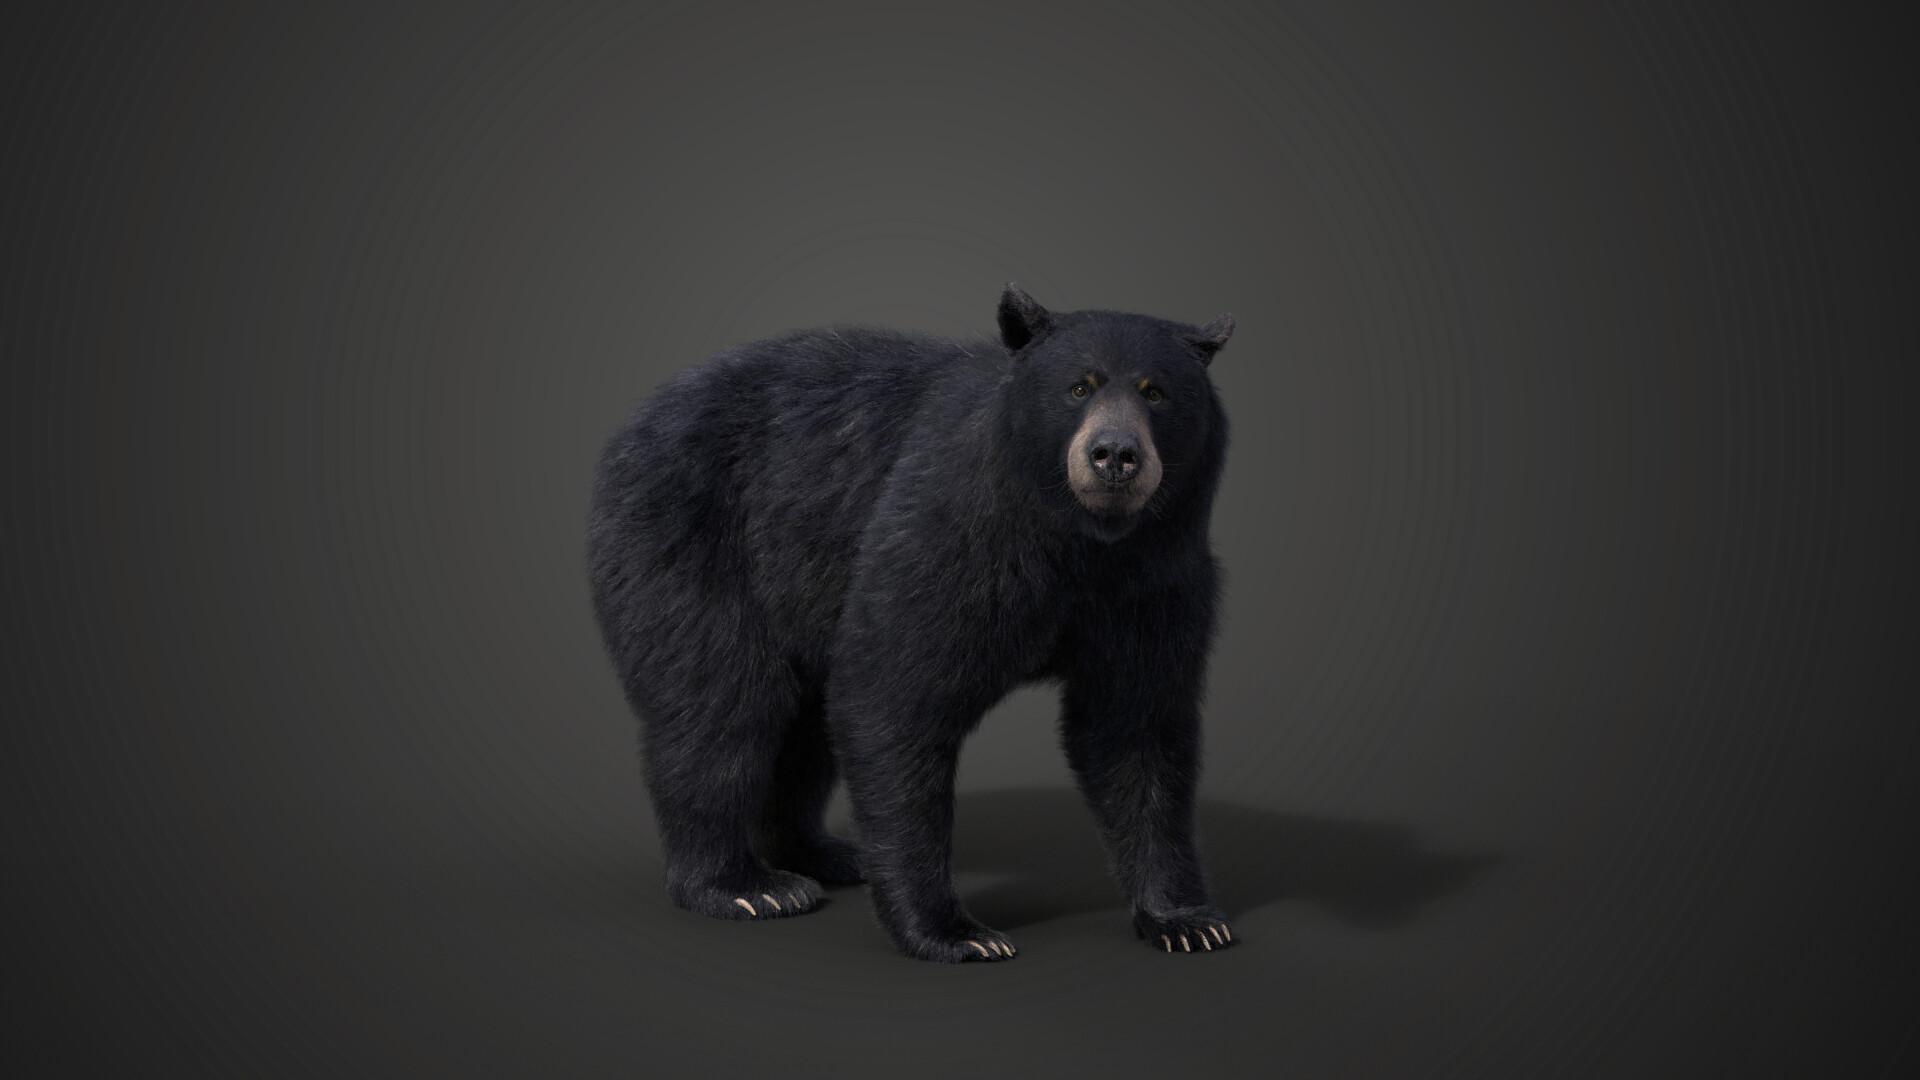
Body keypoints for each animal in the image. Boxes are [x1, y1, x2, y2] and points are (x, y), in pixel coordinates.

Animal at [586, 284, 1238, 961]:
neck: (1082, 544)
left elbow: (1136, 728)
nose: (1114, 455)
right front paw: (956, 931)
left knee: (803, 724)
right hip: (694, 540)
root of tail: (632, 424)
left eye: (1155, 391)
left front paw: (1187, 919)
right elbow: (895, 695)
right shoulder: (952, 536)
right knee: (723, 704)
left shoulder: (1155, 582)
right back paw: (744, 885)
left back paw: (824, 854)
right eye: (1079, 387)